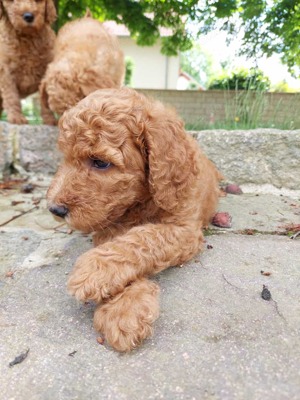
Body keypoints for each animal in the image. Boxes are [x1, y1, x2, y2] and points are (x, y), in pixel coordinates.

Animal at [45, 87, 221, 350]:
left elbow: (145, 237)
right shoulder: (108, 224)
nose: (55, 209)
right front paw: (125, 306)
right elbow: (120, 245)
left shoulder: (183, 228)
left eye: (100, 162)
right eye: (65, 158)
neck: (142, 200)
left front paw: (95, 270)